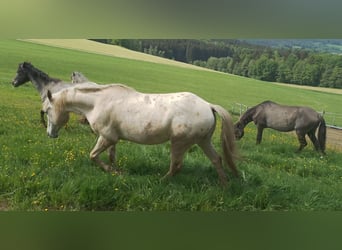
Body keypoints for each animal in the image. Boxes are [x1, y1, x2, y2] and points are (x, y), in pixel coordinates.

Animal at [44, 84, 239, 184]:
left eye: (47, 111)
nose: (50, 134)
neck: (98, 102)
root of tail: (208, 106)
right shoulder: (112, 139)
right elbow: (111, 157)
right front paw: (116, 171)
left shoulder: (106, 137)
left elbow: (93, 155)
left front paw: (111, 171)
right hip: (203, 141)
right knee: (216, 159)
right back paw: (224, 184)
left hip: (179, 143)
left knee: (176, 165)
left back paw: (160, 181)